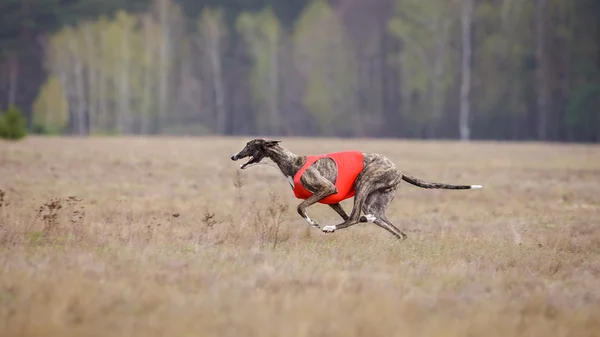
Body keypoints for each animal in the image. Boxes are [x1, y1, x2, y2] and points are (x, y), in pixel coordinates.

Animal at [230, 138, 482, 238]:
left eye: (249, 145)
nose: (233, 156)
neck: (292, 162)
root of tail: (398, 170)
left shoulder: (326, 189)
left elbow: (301, 208)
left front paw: (315, 223)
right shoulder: (333, 200)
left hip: (363, 183)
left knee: (354, 217)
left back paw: (330, 227)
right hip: (376, 203)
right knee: (392, 228)